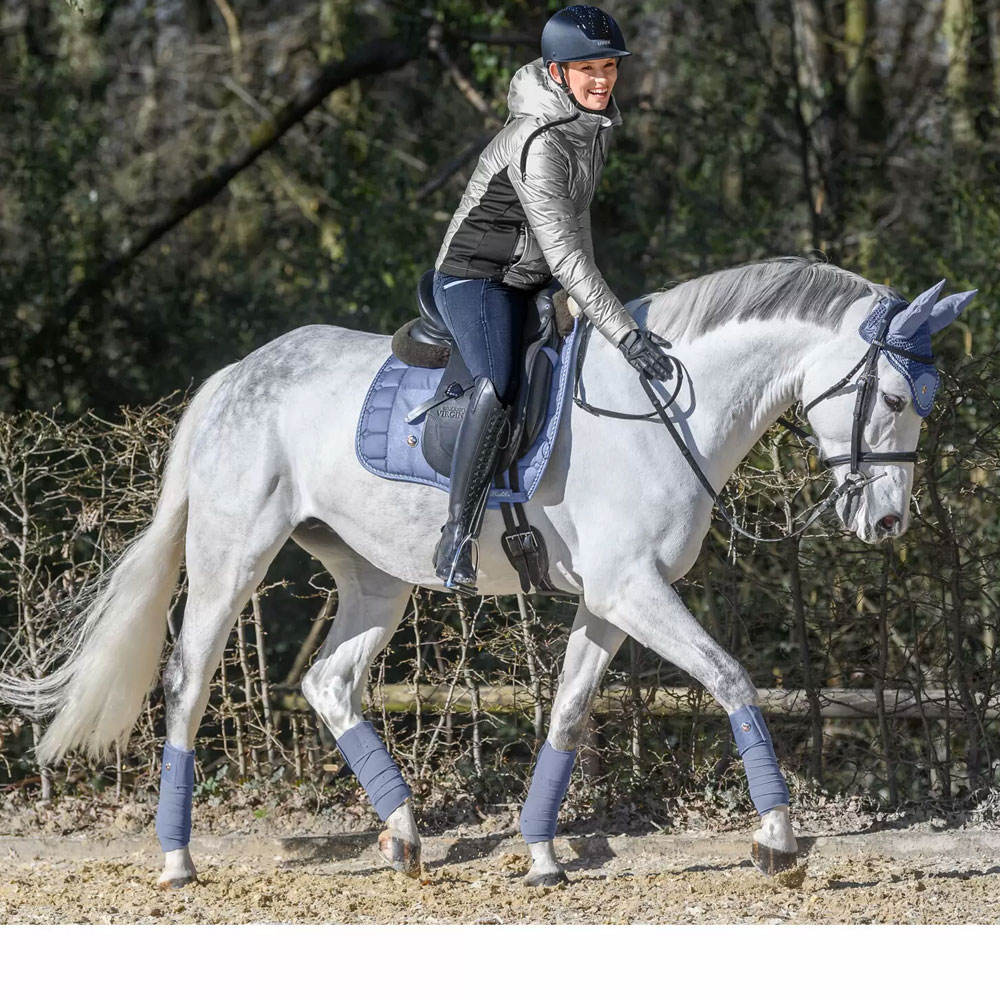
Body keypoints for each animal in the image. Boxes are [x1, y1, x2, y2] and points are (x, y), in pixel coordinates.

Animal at [0, 256, 975, 890]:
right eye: (894, 397)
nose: (887, 522)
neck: (668, 408)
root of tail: (237, 373)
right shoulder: (633, 589)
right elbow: (731, 677)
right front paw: (777, 841)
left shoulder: (613, 599)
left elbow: (571, 712)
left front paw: (541, 856)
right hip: (232, 556)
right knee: (189, 682)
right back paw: (177, 859)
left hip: (375, 578)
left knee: (329, 682)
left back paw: (402, 837)